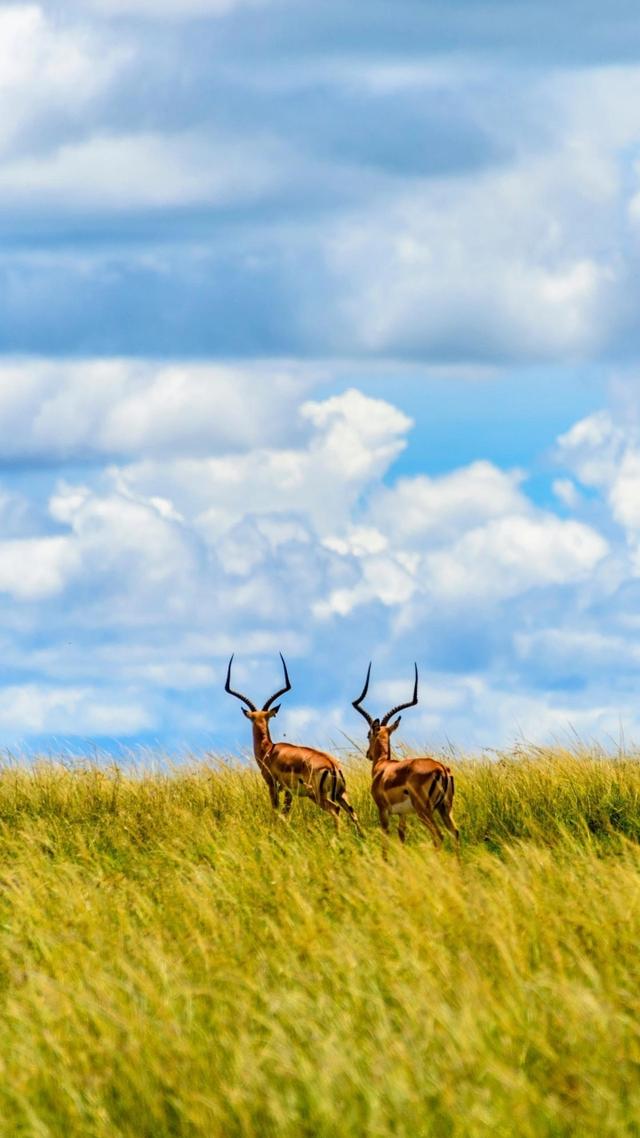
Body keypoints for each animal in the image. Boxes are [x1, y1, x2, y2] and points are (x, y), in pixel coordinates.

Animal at [226, 650, 362, 837]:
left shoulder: (272, 784)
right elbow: (285, 813)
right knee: (353, 812)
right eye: (255, 718)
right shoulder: (289, 792)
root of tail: (332, 766)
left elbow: (277, 811)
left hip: (319, 796)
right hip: (342, 794)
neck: (270, 750)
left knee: (335, 810)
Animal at [348, 660, 457, 855]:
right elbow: (401, 836)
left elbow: (385, 836)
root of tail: (441, 769)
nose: (368, 754)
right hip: (445, 809)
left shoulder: (383, 810)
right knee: (455, 833)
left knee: (439, 836)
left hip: (425, 811)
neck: (383, 767)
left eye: (368, 734)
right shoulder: (402, 814)